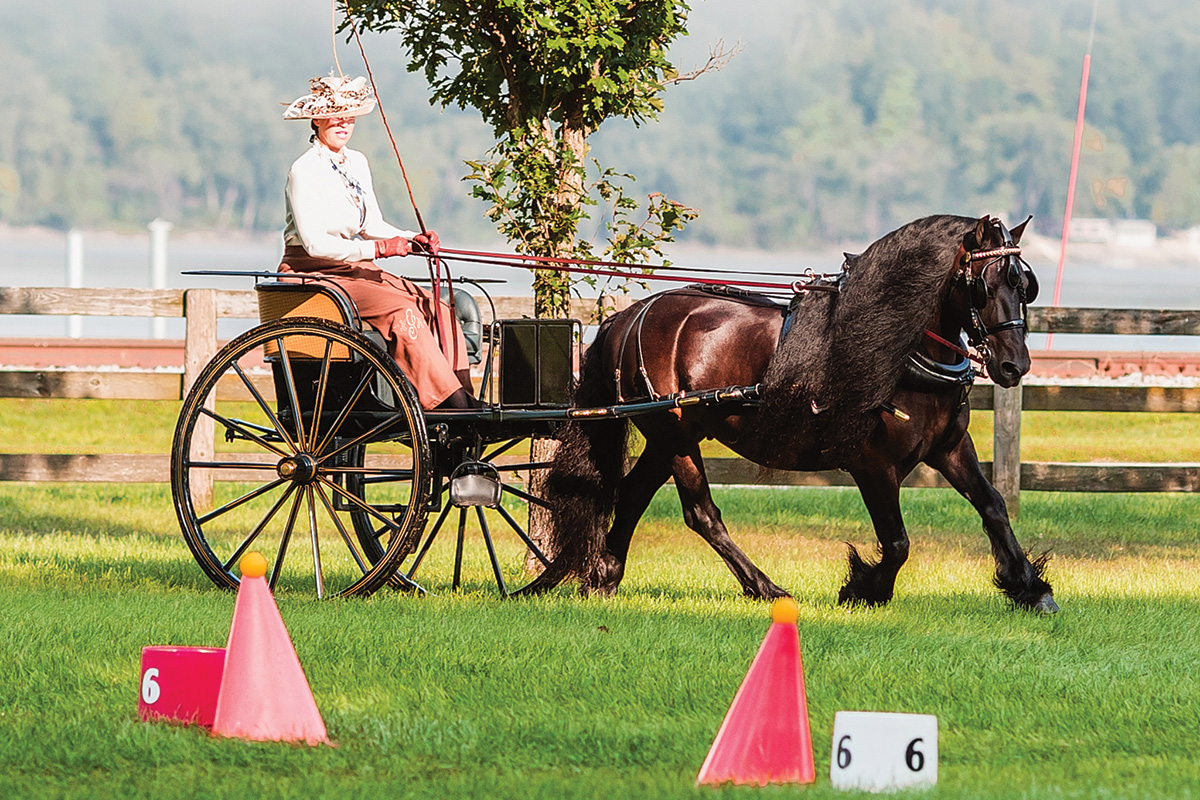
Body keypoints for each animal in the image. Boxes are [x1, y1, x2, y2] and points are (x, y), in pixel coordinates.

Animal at [530, 212, 1056, 614]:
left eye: (1024, 284)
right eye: (985, 283)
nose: (1015, 364)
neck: (897, 349)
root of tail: (626, 316)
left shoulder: (949, 448)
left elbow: (993, 506)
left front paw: (1029, 586)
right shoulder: (872, 464)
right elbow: (897, 542)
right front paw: (863, 589)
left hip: (671, 437)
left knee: (633, 493)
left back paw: (604, 576)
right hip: (673, 436)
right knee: (701, 513)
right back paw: (764, 587)